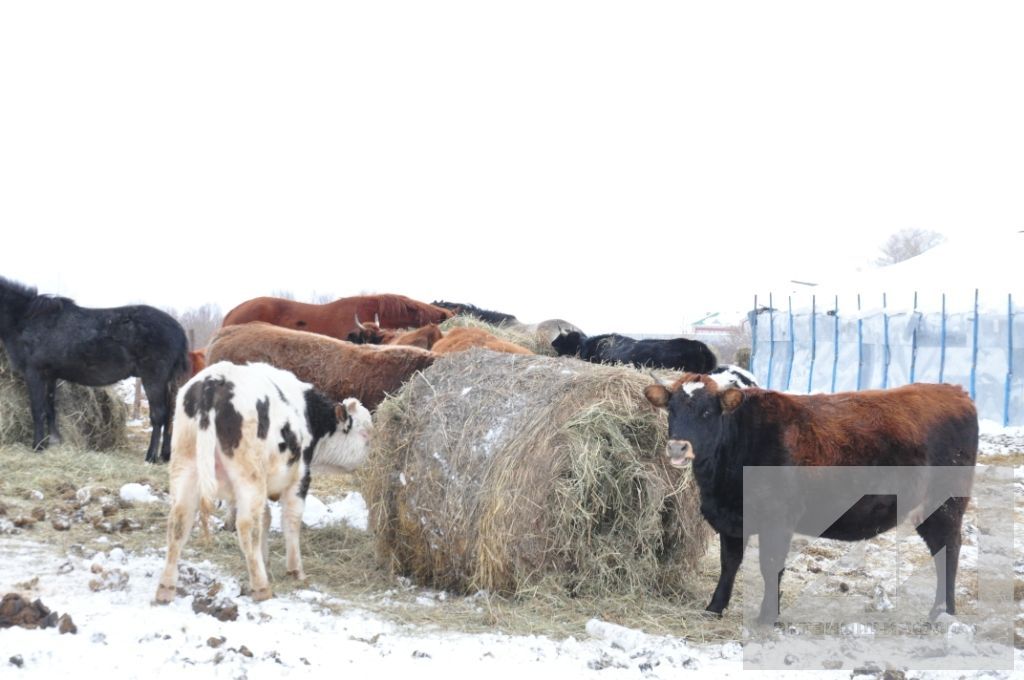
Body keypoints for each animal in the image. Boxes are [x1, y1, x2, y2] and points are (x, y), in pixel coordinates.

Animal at [153, 360, 370, 606]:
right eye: (364, 434)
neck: (307, 413)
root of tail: (214, 381)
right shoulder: (300, 477)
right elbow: (290, 521)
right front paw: (295, 570)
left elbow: (266, 518)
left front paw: (263, 559)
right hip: (249, 476)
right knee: (247, 526)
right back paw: (261, 587)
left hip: (185, 468)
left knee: (179, 522)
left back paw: (165, 588)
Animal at [643, 376, 978, 626]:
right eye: (672, 410)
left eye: (706, 413)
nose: (677, 447)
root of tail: (954, 391)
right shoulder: (732, 521)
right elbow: (730, 564)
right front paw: (714, 607)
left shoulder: (777, 519)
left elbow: (770, 566)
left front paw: (768, 617)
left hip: (945, 505)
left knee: (949, 550)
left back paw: (943, 612)